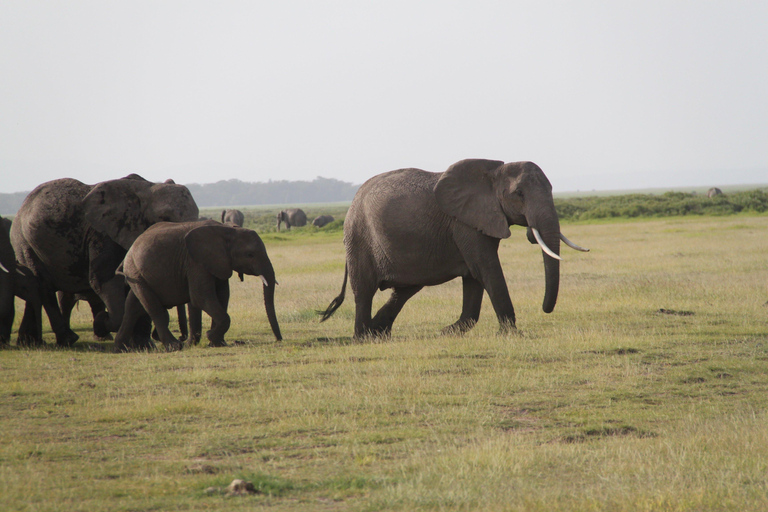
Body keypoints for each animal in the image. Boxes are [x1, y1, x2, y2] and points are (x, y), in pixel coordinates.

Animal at [10, 174, 200, 346]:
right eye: (165, 219)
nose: (183, 339)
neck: (146, 188)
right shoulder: (102, 236)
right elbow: (103, 280)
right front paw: (102, 322)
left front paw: (144, 345)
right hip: (24, 242)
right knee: (44, 287)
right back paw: (68, 339)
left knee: (35, 289)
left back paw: (29, 342)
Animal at [114, 220, 282, 352]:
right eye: (250, 255)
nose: (279, 340)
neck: (227, 230)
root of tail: (130, 250)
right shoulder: (196, 262)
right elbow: (201, 297)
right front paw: (211, 336)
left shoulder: (218, 262)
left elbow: (221, 296)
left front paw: (217, 343)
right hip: (135, 271)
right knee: (153, 308)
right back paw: (174, 346)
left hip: (137, 274)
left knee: (133, 308)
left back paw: (121, 348)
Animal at [318, 158, 588, 338]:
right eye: (519, 193)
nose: (545, 309)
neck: (493, 172)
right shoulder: (464, 223)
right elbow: (486, 268)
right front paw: (511, 334)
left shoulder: (478, 220)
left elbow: (475, 276)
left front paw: (447, 332)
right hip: (358, 237)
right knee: (364, 290)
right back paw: (363, 336)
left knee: (404, 290)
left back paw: (379, 333)